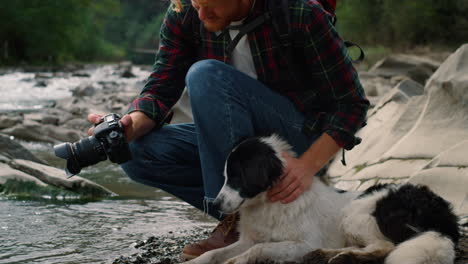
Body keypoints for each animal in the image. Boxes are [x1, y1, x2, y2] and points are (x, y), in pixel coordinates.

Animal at [183, 135, 460, 262]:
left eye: (238, 176)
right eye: (225, 175)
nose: (216, 204)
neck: (268, 203)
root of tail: (441, 212)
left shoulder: (300, 242)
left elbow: (258, 249)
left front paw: (238, 260)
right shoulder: (249, 239)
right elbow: (214, 253)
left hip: (357, 212)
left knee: (384, 246)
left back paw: (339, 255)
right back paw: (329, 253)